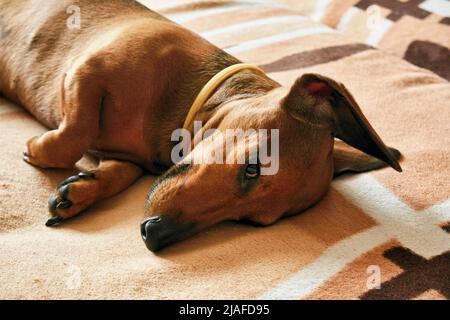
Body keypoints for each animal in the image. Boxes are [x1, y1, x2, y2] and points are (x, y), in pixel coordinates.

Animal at [0, 0, 400, 251]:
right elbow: (74, 134)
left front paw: (83, 189)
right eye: (252, 169)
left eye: (254, 223)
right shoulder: (87, 70)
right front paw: (39, 149)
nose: (153, 235)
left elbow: (116, 171)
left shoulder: (125, 154)